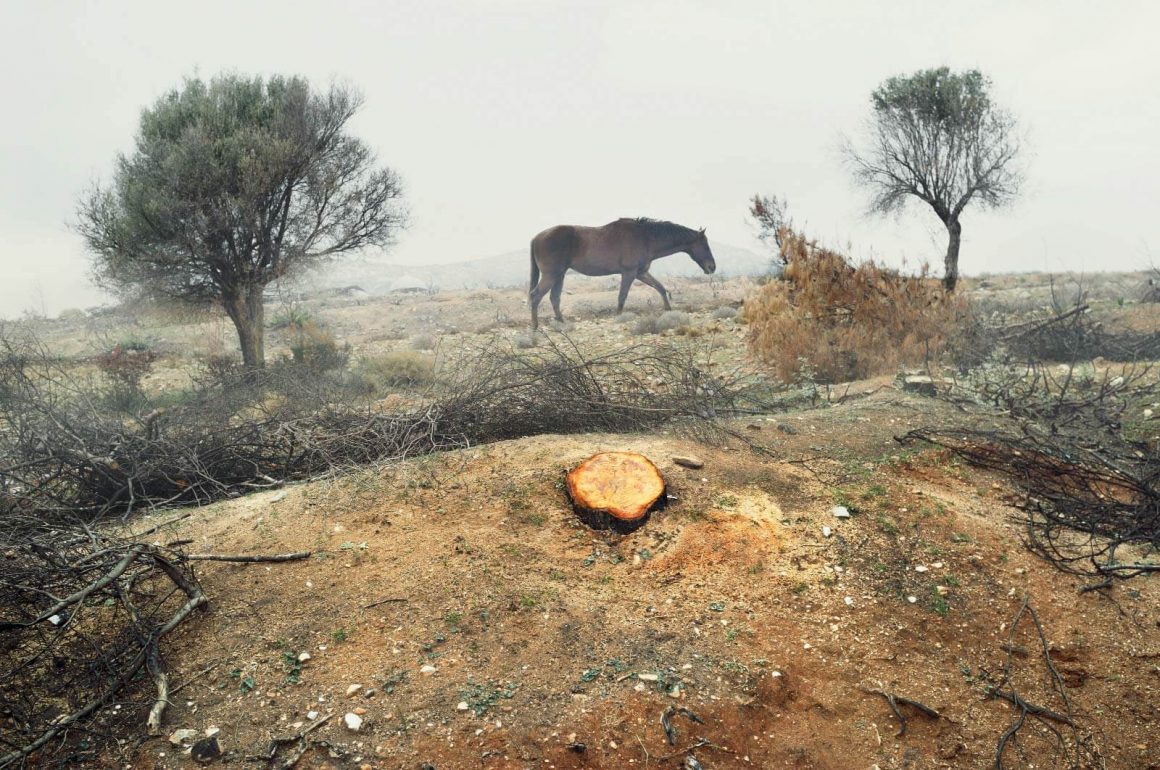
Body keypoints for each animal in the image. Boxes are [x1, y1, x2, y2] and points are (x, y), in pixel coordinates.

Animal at [528, 214, 709, 329]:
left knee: (554, 298)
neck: (644, 238)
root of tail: (535, 238)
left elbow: (660, 288)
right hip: (551, 275)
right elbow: (622, 296)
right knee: (535, 296)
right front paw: (619, 317)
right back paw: (535, 326)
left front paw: (668, 309)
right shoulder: (629, 273)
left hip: (559, 275)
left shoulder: (641, 273)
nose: (712, 267)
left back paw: (562, 322)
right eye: (705, 245)